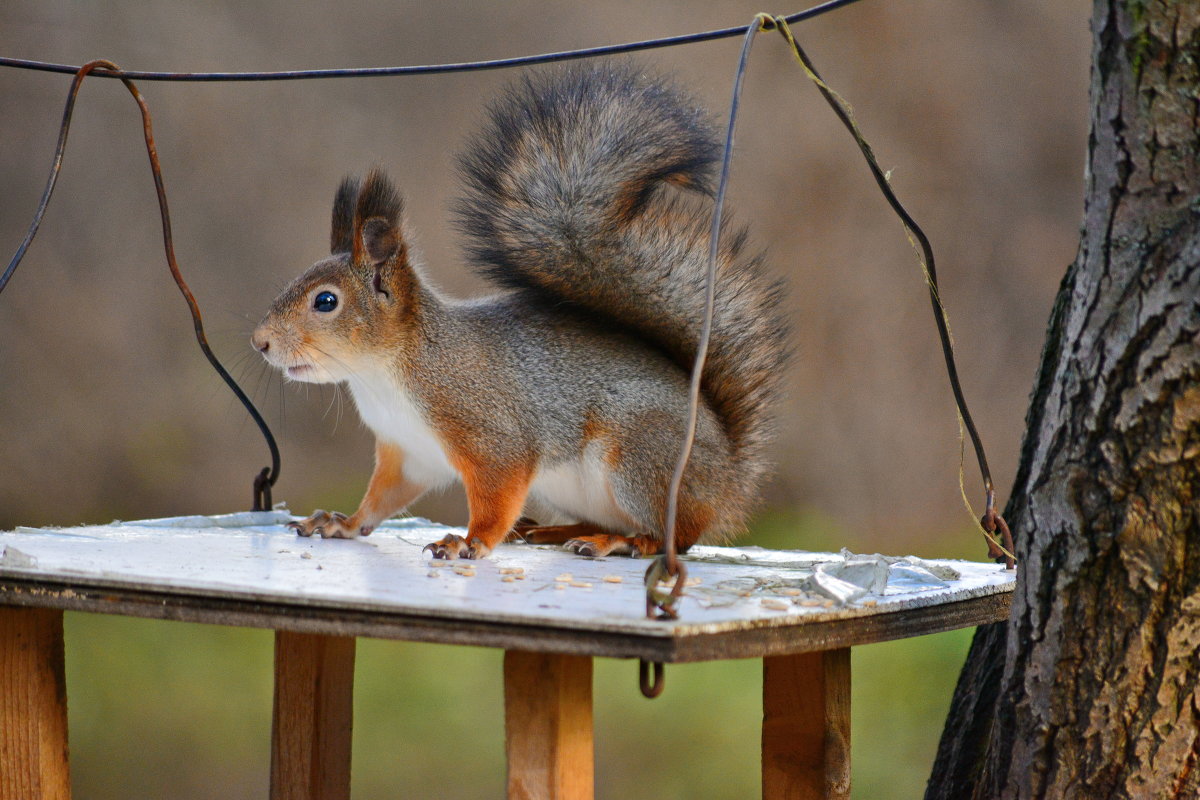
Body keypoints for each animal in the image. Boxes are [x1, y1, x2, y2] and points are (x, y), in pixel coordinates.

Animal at [250, 64, 787, 563]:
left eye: (325, 301)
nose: (260, 342)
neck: (385, 371)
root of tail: (730, 482)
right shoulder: (408, 453)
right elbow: (381, 501)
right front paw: (341, 523)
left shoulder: (491, 435)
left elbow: (496, 495)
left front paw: (469, 543)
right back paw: (557, 530)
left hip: (642, 458)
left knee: (673, 537)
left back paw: (619, 540)